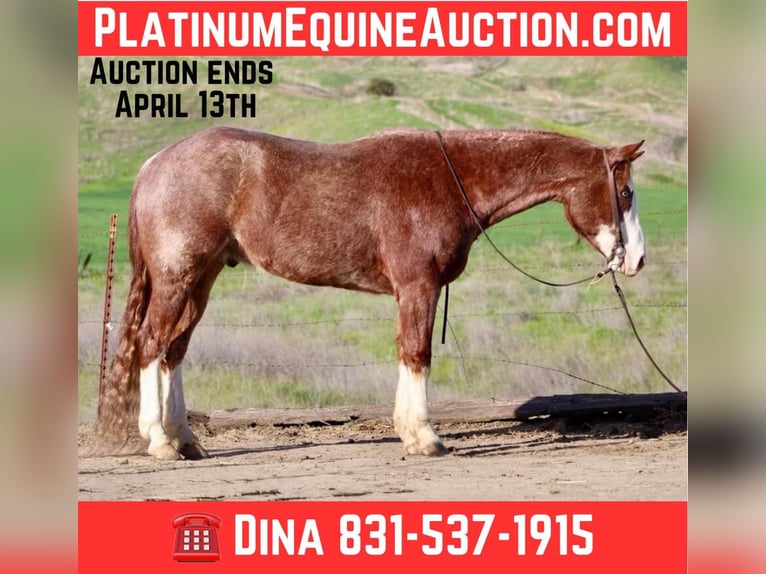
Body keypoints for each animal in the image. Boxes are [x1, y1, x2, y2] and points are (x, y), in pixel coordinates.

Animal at [94, 127, 646, 459]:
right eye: (624, 192)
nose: (638, 260)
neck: (451, 178)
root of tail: (155, 163)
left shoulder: (412, 292)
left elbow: (406, 355)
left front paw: (409, 431)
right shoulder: (418, 287)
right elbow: (418, 354)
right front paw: (425, 437)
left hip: (201, 280)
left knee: (173, 352)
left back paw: (186, 439)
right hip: (177, 278)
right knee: (151, 347)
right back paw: (160, 441)